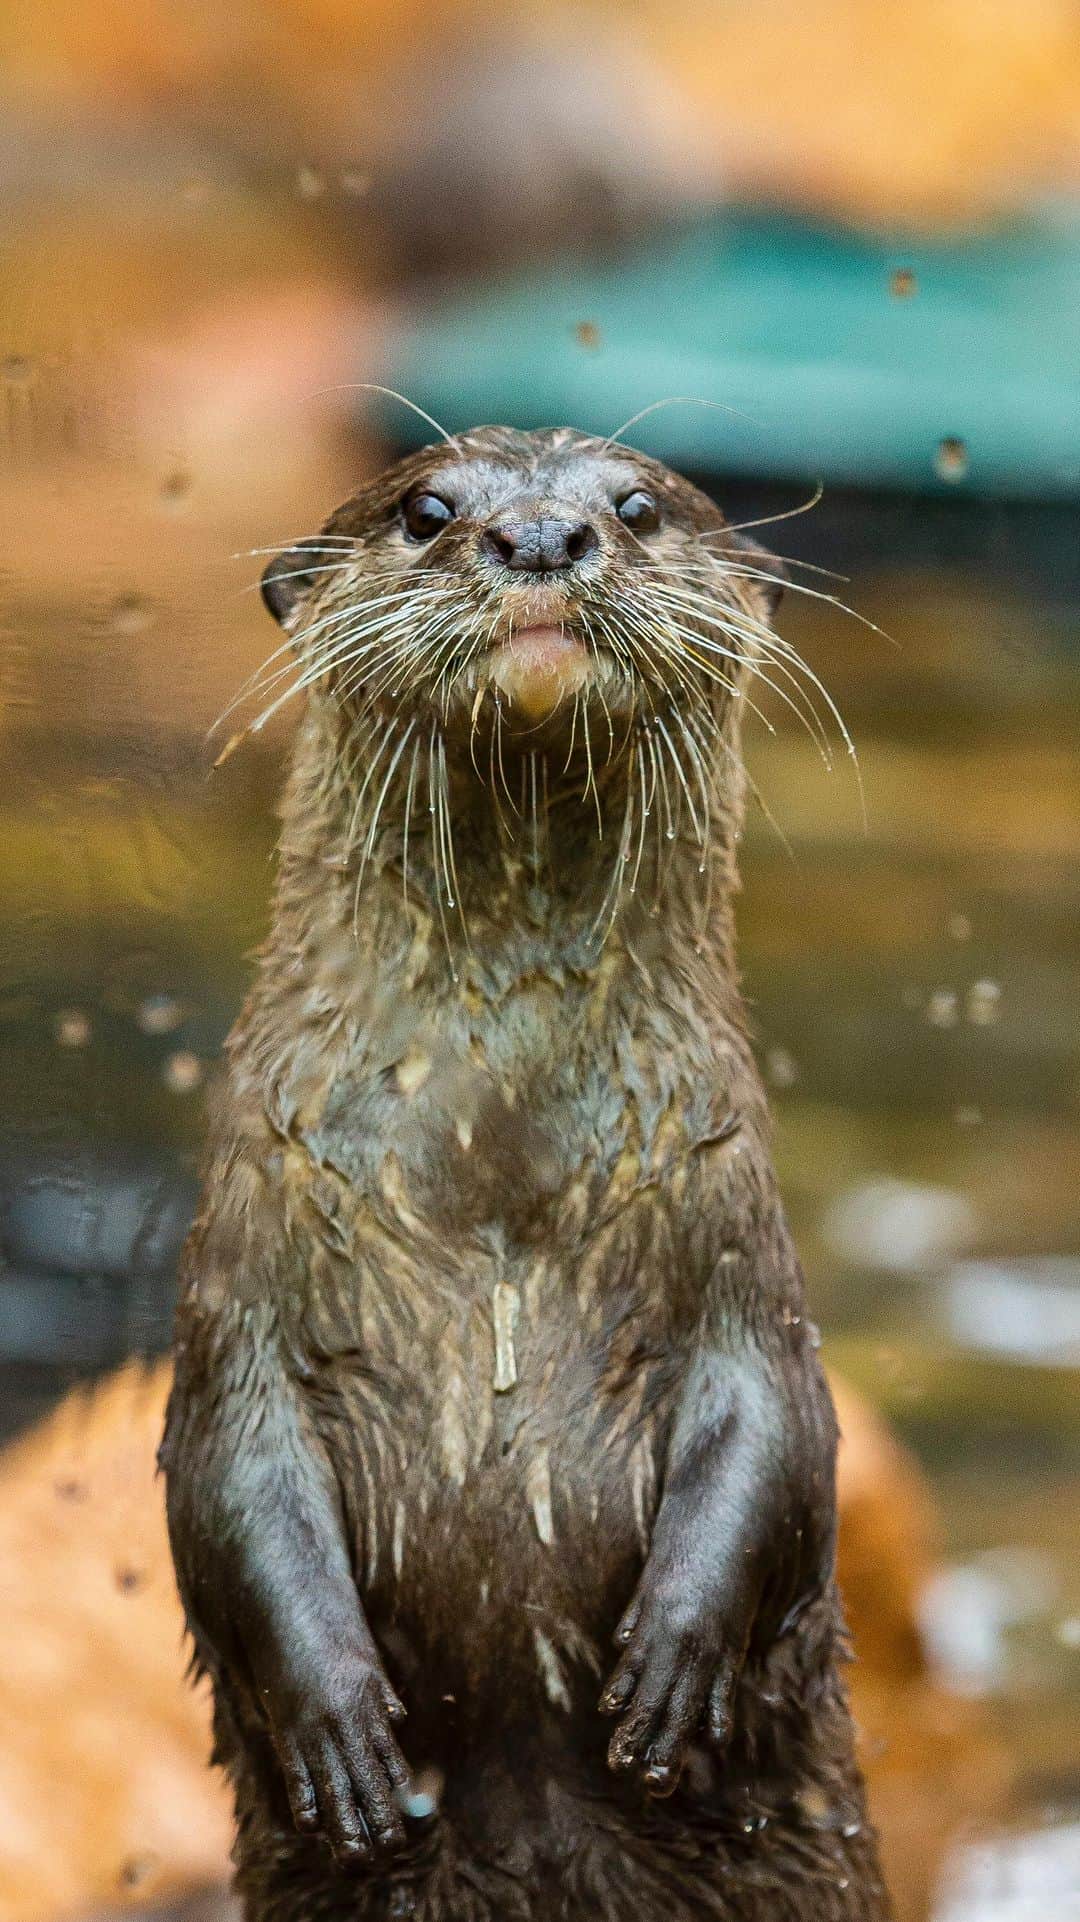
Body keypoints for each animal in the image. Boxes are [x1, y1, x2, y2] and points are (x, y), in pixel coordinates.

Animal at [162, 426, 891, 1922]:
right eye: (427, 506)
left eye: (639, 503)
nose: (543, 534)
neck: (496, 1151)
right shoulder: (245, 1254)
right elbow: (230, 1477)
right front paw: (341, 1730)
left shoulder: (732, 1225)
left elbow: (777, 1431)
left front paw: (672, 1665)